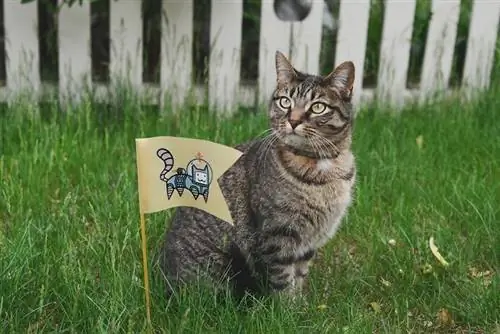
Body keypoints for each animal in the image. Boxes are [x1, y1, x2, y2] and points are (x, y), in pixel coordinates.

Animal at [158, 51, 358, 298]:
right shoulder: (277, 235)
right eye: (285, 102)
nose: (293, 121)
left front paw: (301, 304)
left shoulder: (308, 243)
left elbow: (300, 275)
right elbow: (283, 282)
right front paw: (289, 307)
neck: (322, 167)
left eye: (318, 107)